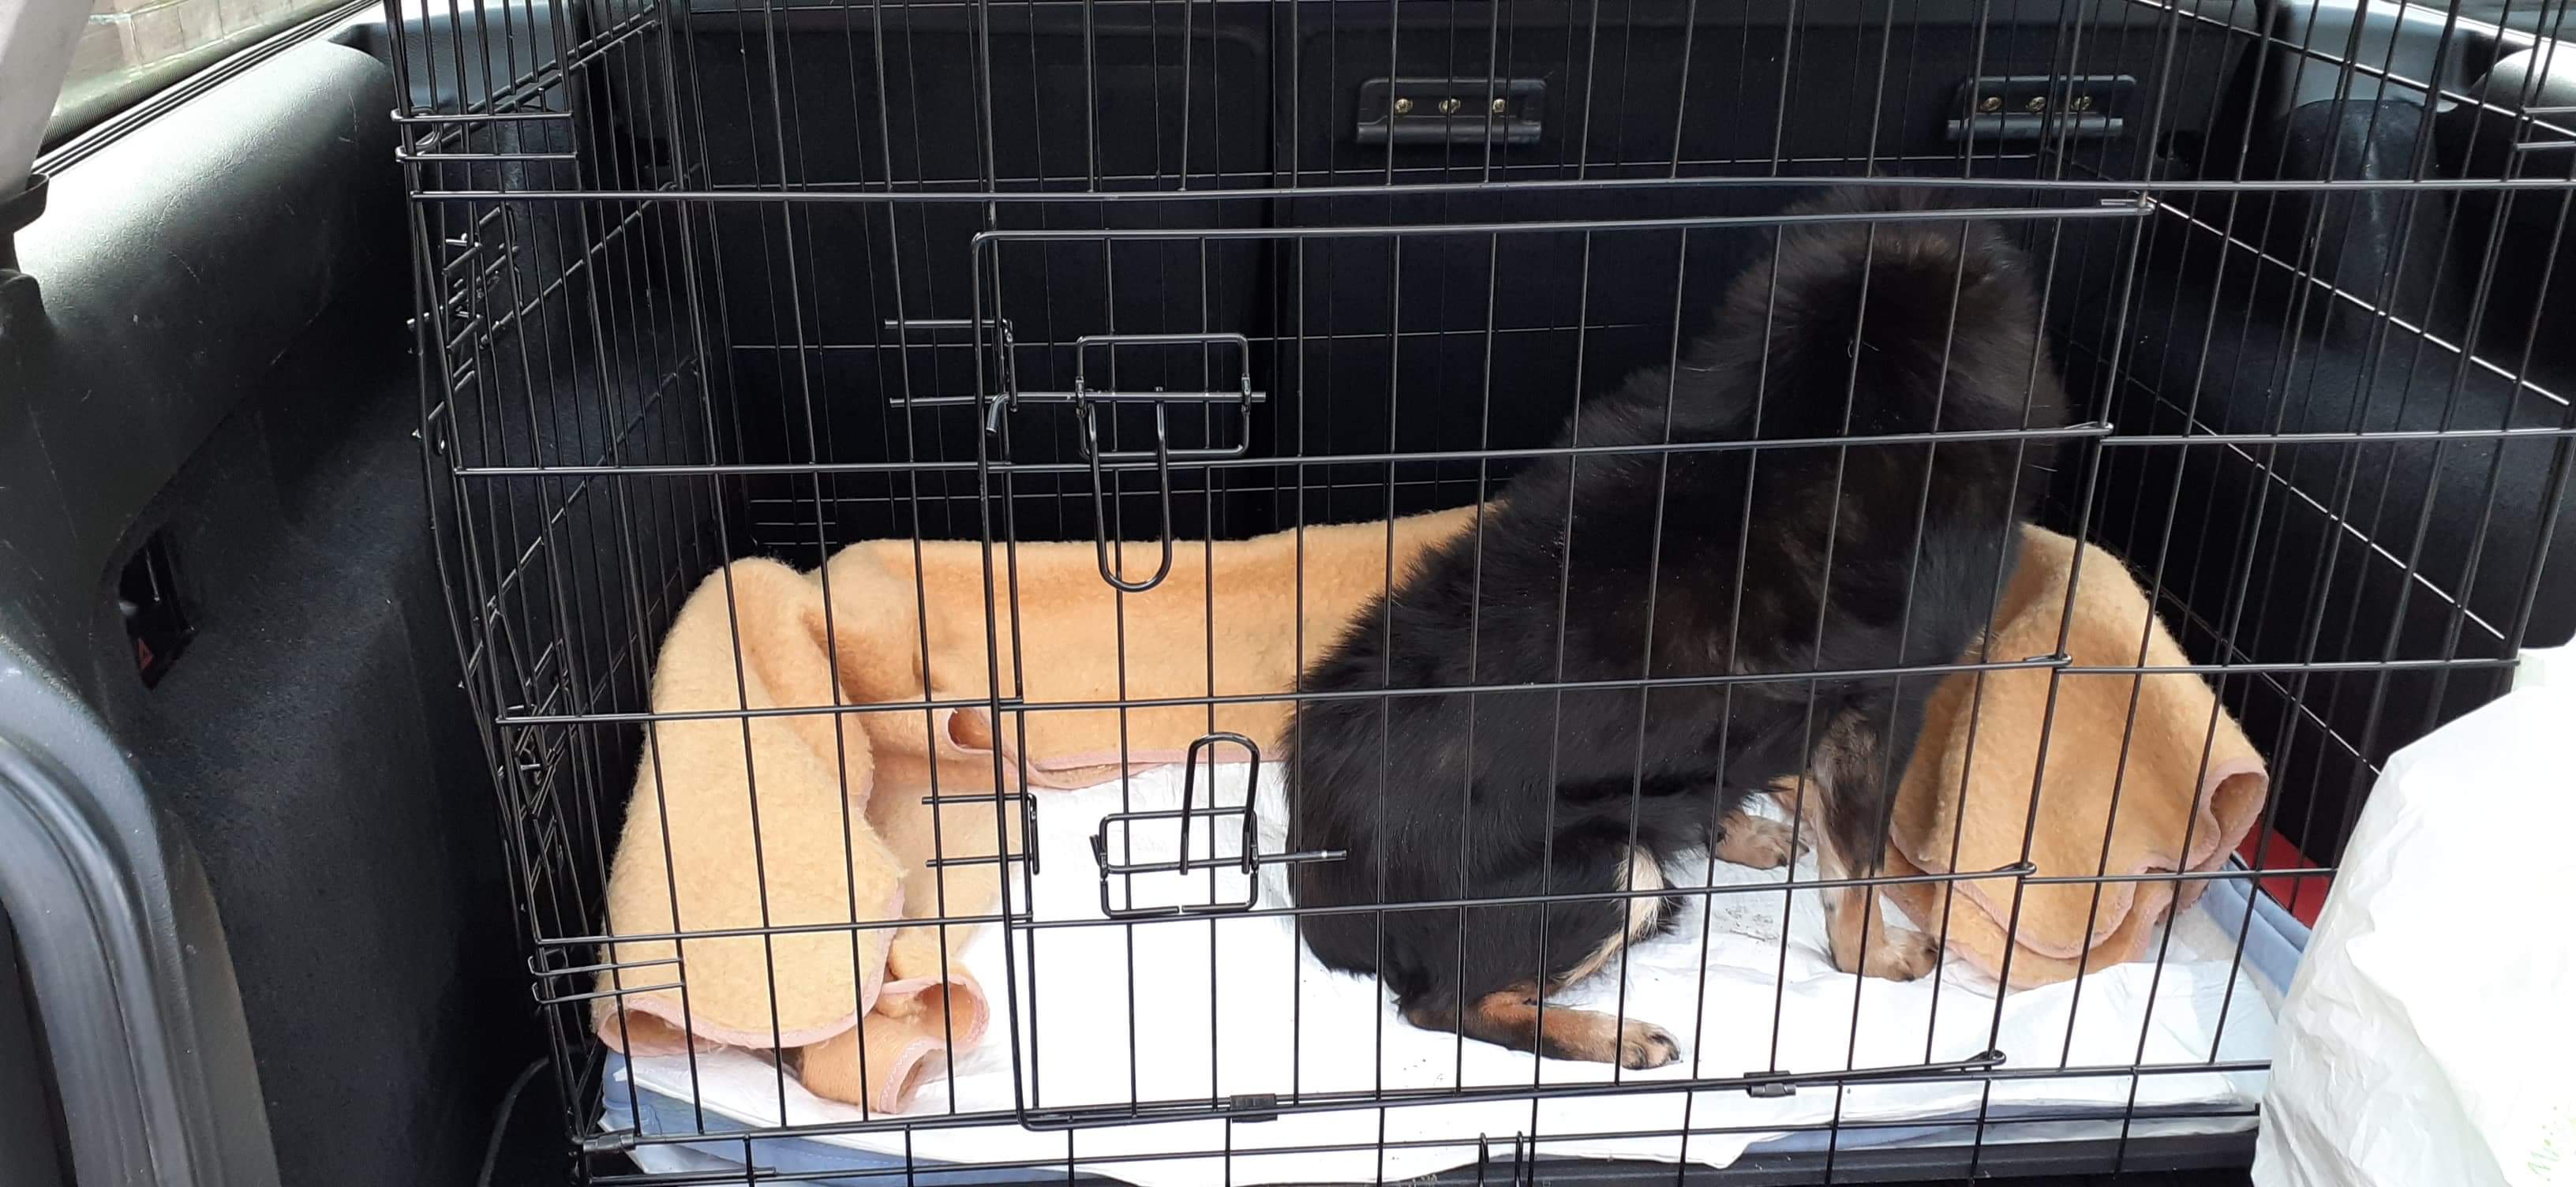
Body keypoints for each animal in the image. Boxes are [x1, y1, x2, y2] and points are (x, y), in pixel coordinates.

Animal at [1282, 188, 2069, 1069]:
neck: (1835, 380)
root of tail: (1322, 894)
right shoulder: (1885, 704)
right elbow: (1857, 869)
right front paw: (1877, 957)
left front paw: (1754, 821)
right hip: (1612, 871)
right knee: (1446, 1005)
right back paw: (1612, 1035)